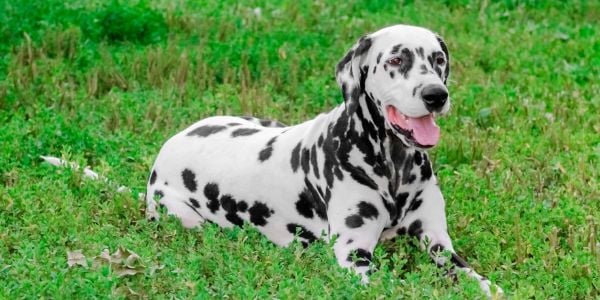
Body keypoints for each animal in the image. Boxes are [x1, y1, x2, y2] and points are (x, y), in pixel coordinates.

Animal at [145, 24, 502, 296]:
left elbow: (475, 278)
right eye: (396, 59)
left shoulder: (437, 241)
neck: (394, 165)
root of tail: (171, 142)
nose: (436, 95)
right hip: (184, 217)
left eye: (438, 59)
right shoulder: (353, 255)